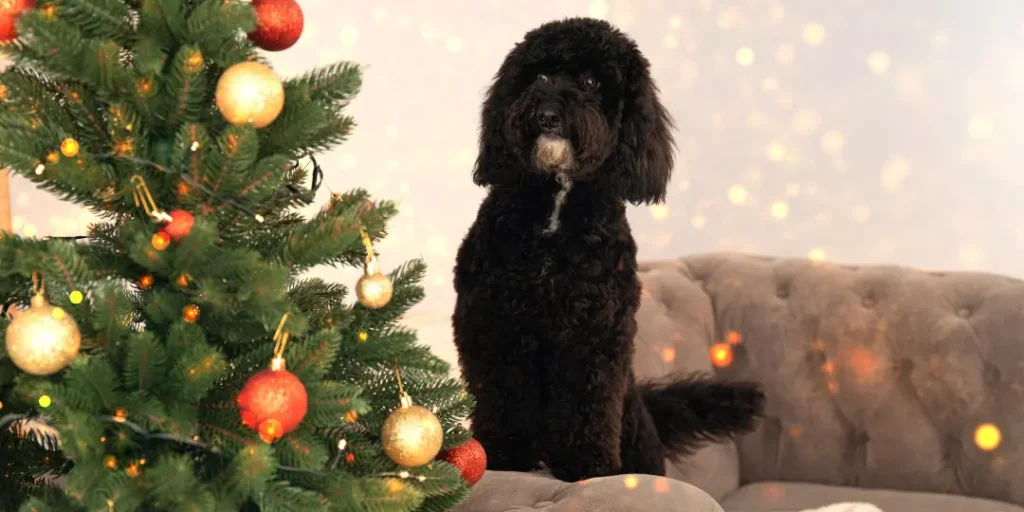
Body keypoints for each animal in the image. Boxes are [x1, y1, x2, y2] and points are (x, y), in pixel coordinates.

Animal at [452, 18, 765, 481]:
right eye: (538, 76)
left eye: (590, 82)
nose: (548, 114)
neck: (556, 207)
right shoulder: (491, 322)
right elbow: (501, 395)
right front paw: (502, 455)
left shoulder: (597, 334)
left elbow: (589, 404)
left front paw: (591, 467)